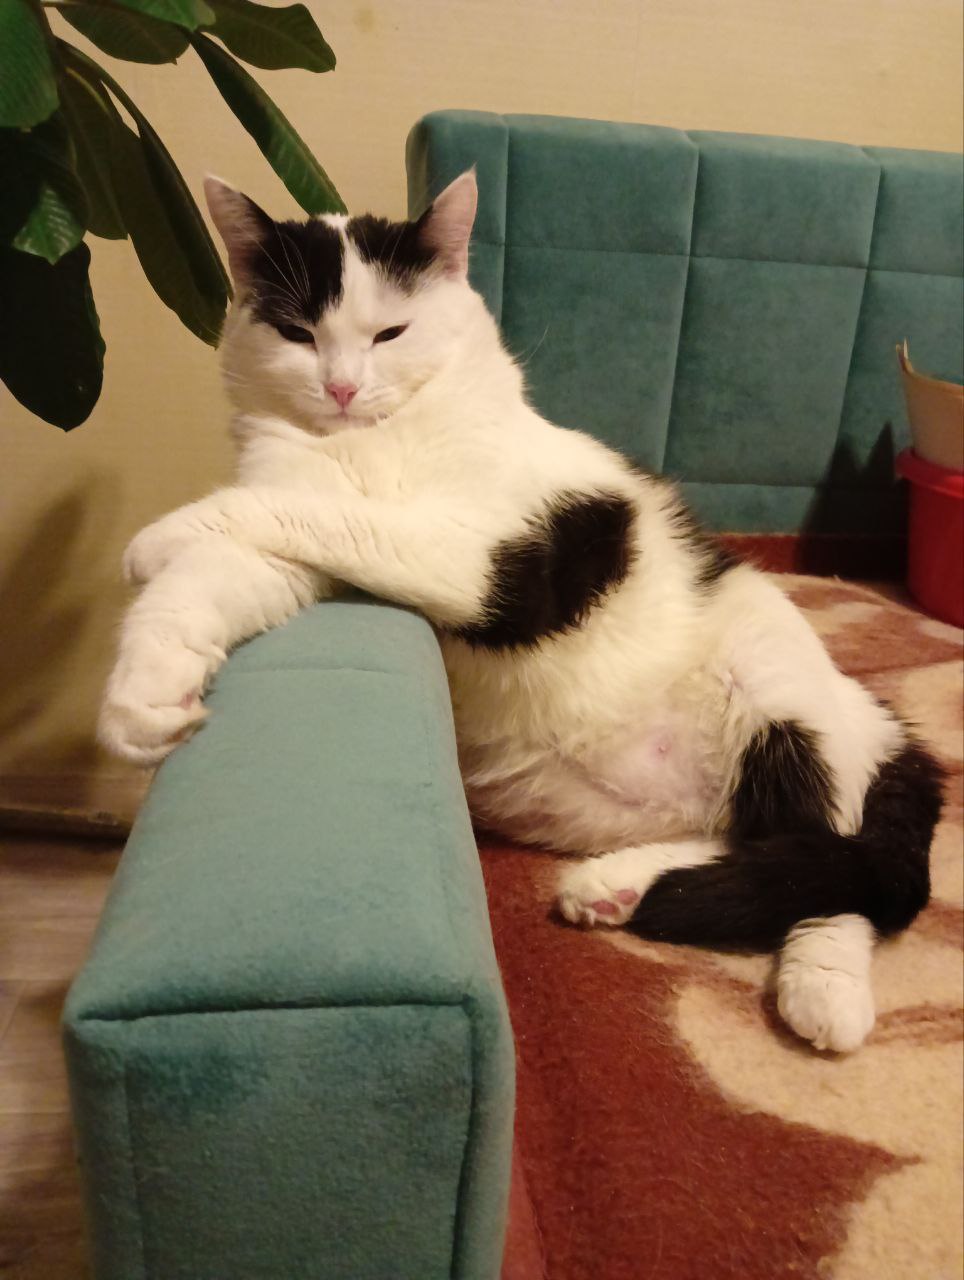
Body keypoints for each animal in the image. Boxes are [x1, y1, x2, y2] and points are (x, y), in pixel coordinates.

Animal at [99, 170, 944, 1054]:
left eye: (391, 332)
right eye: (297, 333)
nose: (342, 387)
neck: (366, 444)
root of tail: (881, 719)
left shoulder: (495, 566)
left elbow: (330, 515)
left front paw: (161, 532)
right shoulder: (314, 566)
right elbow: (223, 570)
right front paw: (144, 693)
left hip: (773, 685)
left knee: (836, 862)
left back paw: (824, 986)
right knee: (760, 843)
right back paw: (615, 885)